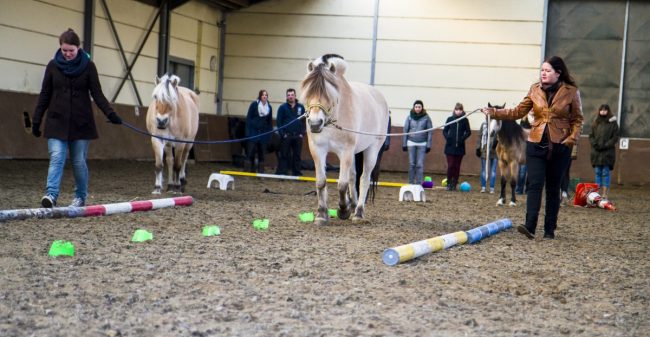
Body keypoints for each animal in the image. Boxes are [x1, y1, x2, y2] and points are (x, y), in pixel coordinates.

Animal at [300, 53, 388, 224]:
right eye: (308, 93)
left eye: (329, 95)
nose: (315, 124)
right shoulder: (318, 149)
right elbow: (321, 182)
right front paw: (321, 214)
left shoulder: (345, 151)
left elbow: (342, 184)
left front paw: (343, 210)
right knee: (353, 177)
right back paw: (353, 205)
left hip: (372, 149)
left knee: (364, 178)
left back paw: (358, 213)